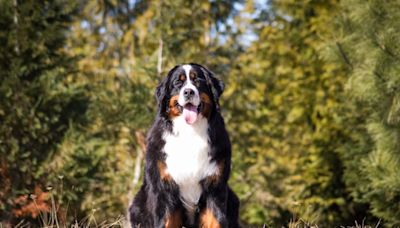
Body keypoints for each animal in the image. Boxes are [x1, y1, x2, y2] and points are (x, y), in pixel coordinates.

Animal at [130, 62, 239, 228]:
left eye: (197, 81)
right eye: (178, 83)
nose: (188, 92)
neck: (190, 132)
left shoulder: (215, 187)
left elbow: (216, 220)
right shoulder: (163, 187)